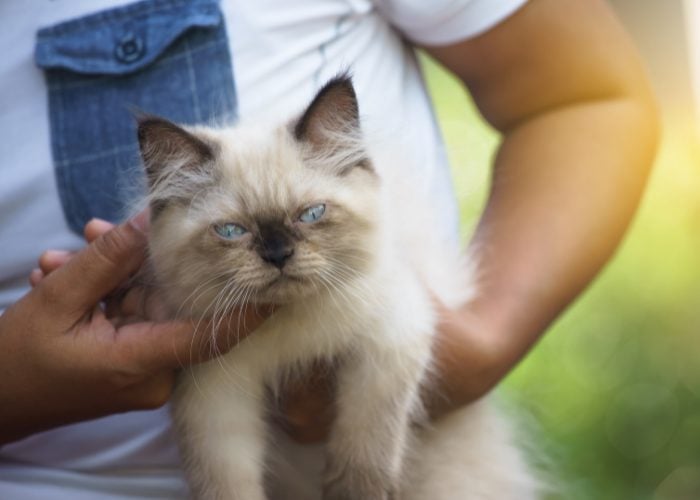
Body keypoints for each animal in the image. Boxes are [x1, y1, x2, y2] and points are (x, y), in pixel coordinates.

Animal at [138, 75, 540, 500]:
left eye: (312, 214)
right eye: (231, 231)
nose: (278, 255)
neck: (291, 335)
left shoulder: (389, 338)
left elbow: (366, 437)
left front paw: (356, 490)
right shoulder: (215, 397)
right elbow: (226, 482)